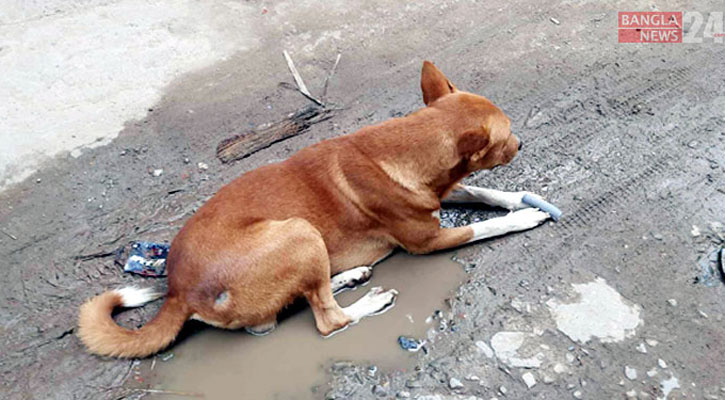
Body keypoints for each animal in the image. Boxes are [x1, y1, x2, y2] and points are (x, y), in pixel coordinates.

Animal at [78, 61, 548, 356]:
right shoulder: (428, 239)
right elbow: (484, 227)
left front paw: (517, 199)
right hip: (299, 231)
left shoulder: (436, 195)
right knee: (327, 319)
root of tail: (177, 290)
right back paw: (368, 300)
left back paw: (349, 276)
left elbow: (483, 192)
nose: (523, 143)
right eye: (507, 135)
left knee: (291, 307)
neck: (402, 148)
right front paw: (524, 216)